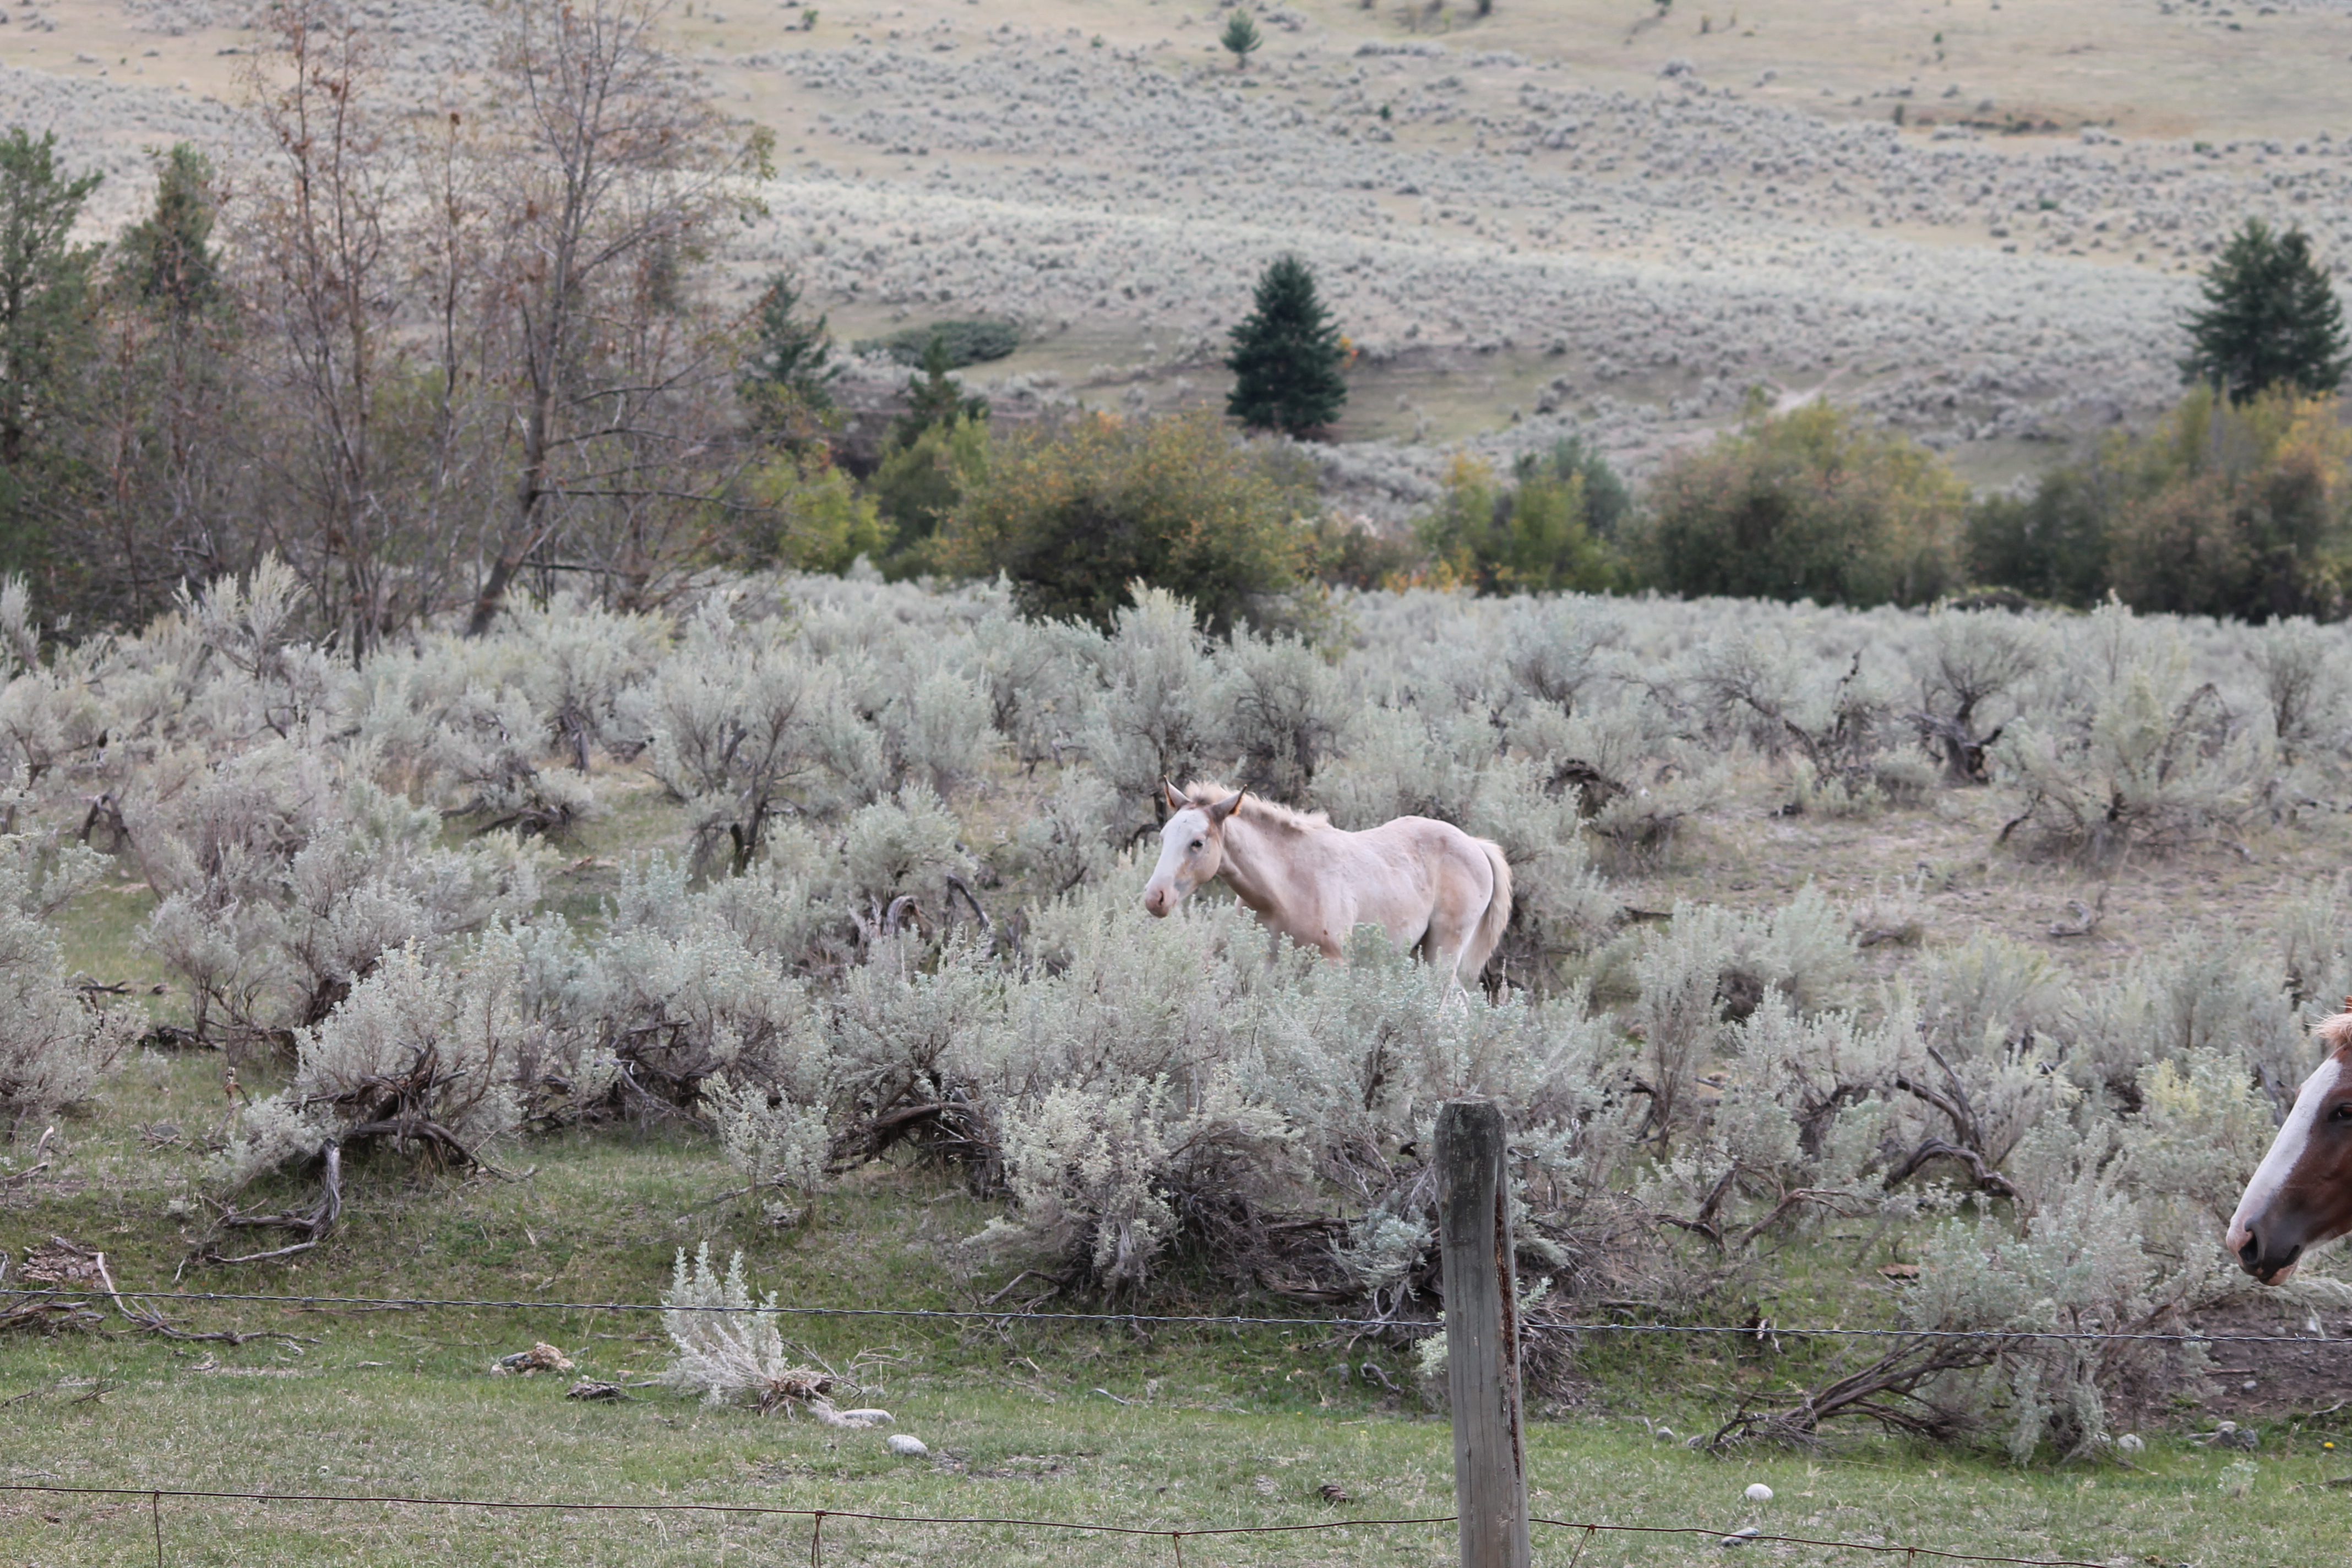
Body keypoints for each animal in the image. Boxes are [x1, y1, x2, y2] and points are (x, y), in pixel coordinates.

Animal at [1140, 780, 1513, 988]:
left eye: (1198, 842)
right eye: (1163, 836)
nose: (1155, 897)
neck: (1287, 887)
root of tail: (1475, 844)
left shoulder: (1332, 964)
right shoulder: (1267, 964)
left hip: (1442, 954)